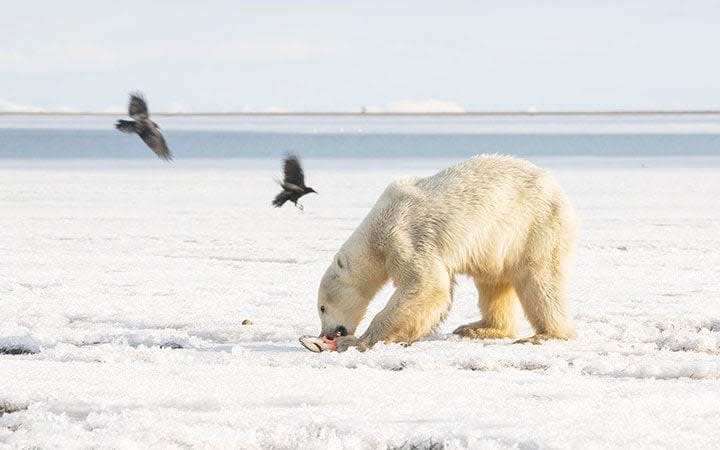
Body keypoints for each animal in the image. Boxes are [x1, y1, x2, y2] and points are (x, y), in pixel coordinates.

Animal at [316, 155, 580, 352]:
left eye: (322, 307)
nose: (324, 333)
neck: (378, 227)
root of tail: (557, 188)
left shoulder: (405, 236)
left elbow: (425, 284)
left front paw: (358, 341)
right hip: (497, 245)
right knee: (493, 282)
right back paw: (477, 328)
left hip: (534, 226)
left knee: (539, 280)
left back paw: (545, 334)